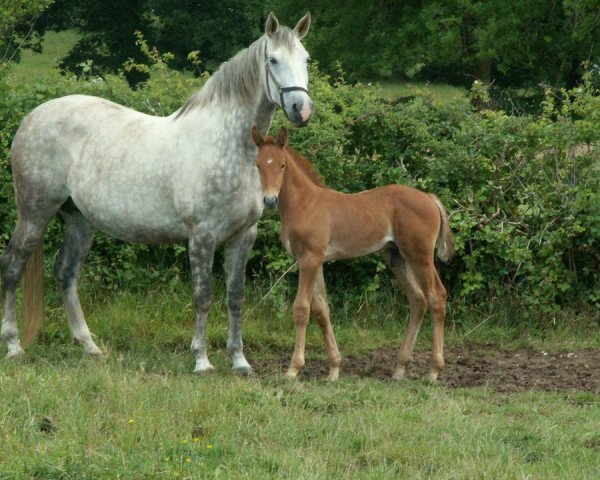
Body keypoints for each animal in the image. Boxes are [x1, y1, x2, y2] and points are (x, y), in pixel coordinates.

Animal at [252, 127, 454, 382]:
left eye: (282, 165)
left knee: (437, 296)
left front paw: (293, 369)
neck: (305, 204)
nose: (270, 200)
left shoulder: (310, 259)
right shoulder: (313, 261)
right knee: (418, 300)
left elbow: (302, 309)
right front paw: (334, 369)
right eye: (258, 165)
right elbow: (322, 310)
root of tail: (429, 198)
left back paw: (433, 371)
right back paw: (399, 369)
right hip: (396, 257)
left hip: (419, 256)